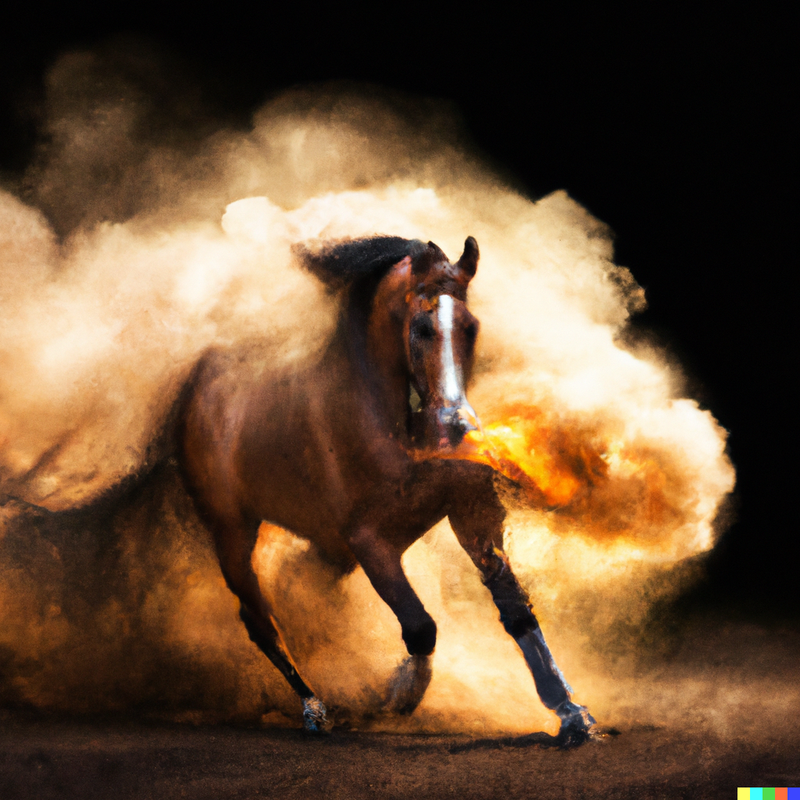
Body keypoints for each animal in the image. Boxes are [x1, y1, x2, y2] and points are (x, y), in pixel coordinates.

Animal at [177, 234, 596, 742]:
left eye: (471, 327)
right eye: (422, 328)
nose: (457, 429)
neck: (392, 428)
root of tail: (198, 388)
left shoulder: (471, 512)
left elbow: (516, 609)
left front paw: (571, 713)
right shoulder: (368, 542)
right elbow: (420, 625)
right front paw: (399, 696)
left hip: (321, 549)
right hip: (232, 530)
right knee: (259, 618)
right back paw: (315, 709)